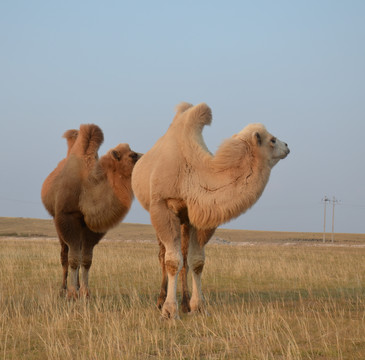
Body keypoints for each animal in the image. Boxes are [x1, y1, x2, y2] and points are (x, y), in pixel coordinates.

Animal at [41, 124, 141, 298]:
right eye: (132, 155)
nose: (145, 157)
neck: (86, 190)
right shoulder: (67, 217)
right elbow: (73, 258)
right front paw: (72, 294)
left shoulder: (91, 226)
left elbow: (86, 259)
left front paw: (85, 292)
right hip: (57, 221)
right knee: (64, 254)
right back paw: (63, 289)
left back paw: (77, 285)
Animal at [132, 102, 290, 318]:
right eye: (272, 140)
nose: (287, 146)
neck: (192, 175)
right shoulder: (163, 206)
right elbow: (172, 261)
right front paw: (169, 310)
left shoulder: (201, 214)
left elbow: (197, 262)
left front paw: (198, 307)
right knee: (163, 255)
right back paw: (161, 300)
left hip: (185, 220)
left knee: (184, 256)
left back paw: (185, 303)